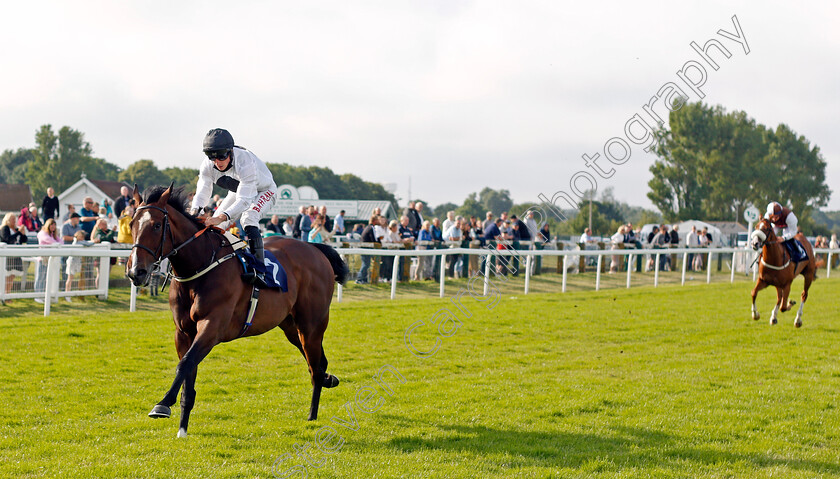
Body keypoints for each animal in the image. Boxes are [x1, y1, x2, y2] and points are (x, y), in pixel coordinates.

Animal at [125, 185, 348, 438]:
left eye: (156, 225)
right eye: (131, 224)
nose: (136, 271)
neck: (200, 266)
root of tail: (314, 249)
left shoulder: (212, 327)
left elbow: (185, 364)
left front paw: (162, 405)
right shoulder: (183, 333)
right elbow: (188, 373)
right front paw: (182, 429)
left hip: (312, 325)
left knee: (315, 367)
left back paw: (312, 416)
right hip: (292, 327)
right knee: (317, 363)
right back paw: (329, 380)